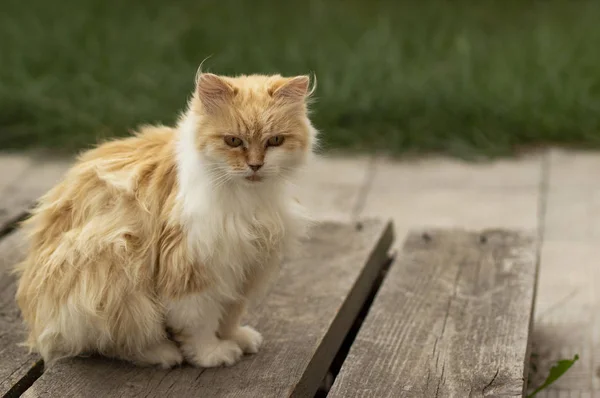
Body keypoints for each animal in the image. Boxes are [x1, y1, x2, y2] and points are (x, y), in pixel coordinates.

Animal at [12, 70, 318, 368]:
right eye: (233, 141)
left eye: (275, 141)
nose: (255, 166)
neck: (249, 200)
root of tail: (38, 327)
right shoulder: (191, 266)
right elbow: (199, 323)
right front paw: (212, 355)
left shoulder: (246, 268)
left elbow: (230, 315)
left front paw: (236, 338)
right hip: (112, 267)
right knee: (116, 344)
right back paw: (163, 353)